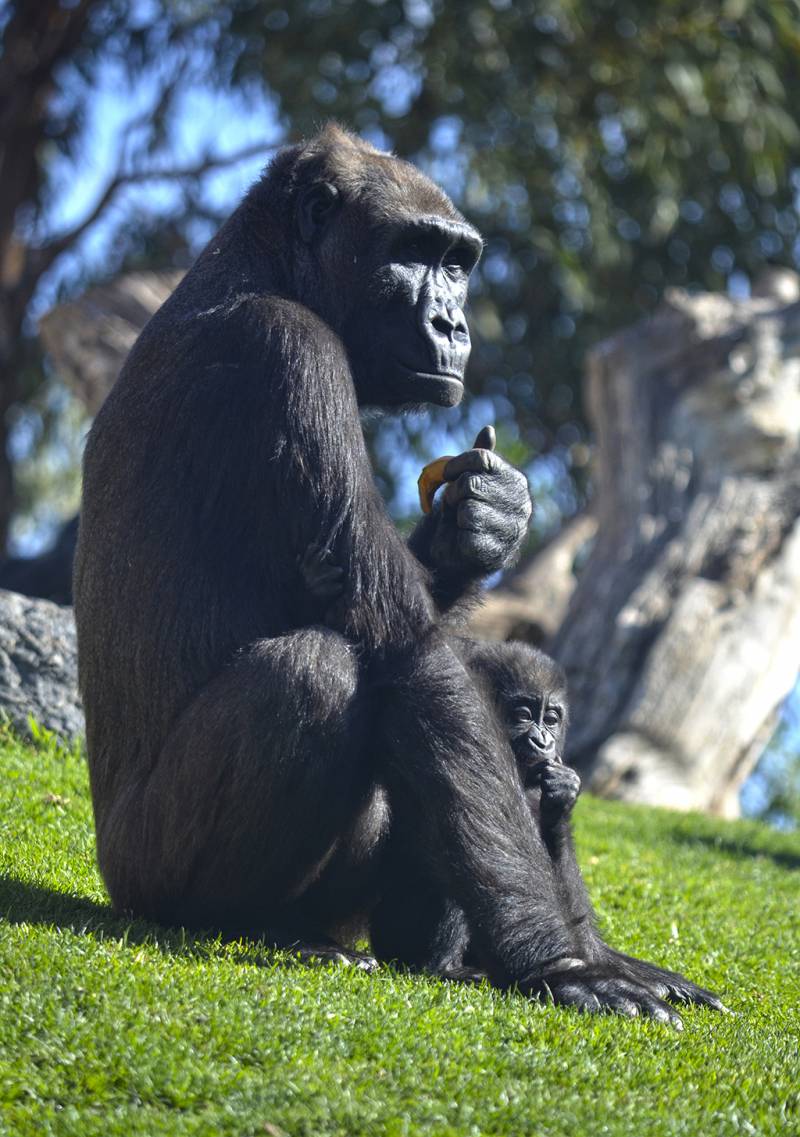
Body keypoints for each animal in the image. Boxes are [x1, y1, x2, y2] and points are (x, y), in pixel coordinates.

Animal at [75, 124, 722, 1023]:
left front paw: (477, 526)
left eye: (459, 262)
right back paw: (250, 923)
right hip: (142, 867)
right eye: (414, 252)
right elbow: (407, 649)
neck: (259, 265)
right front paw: (563, 962)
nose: (453, 322)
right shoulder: (288, 352)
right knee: (313, 672)